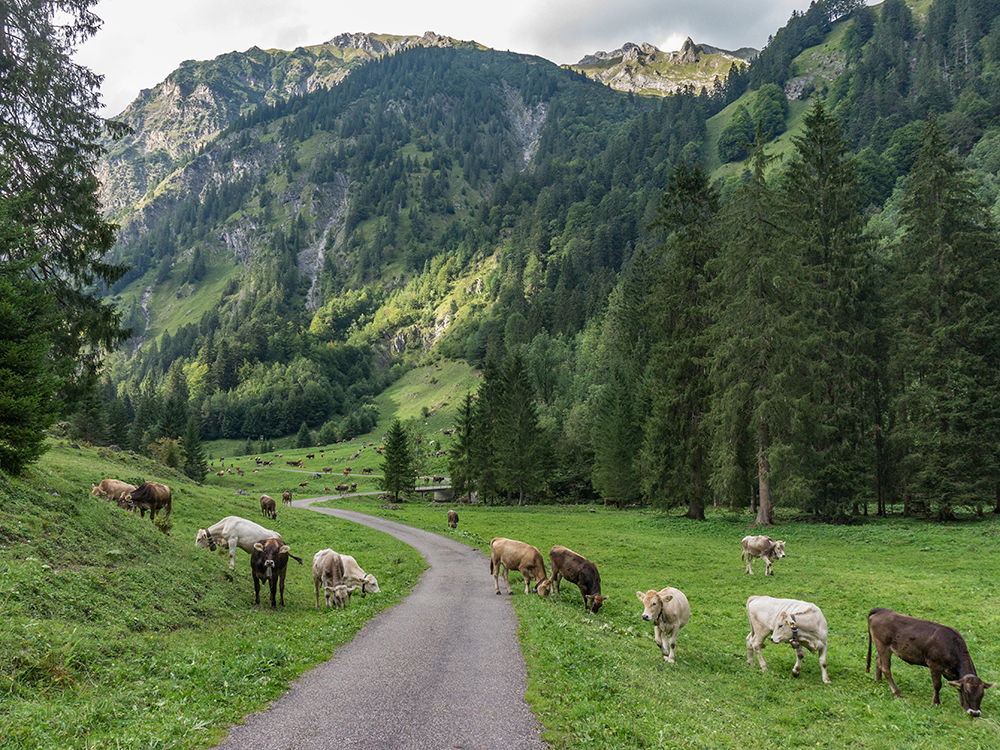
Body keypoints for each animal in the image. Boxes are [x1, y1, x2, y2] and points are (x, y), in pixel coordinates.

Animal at [864, 604, 996, 716]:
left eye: (982, 694)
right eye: (968, 692)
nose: (975, 713)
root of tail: (881, 610)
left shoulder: (951, 672)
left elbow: (957, 685)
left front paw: (962, 704)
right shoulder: (934, 665)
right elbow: (937, 685)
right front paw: (936, 703)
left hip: (881, 646)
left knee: (877, 658)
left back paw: (877, 680)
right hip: (883, 644)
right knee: (886, 668)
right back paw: (897, 692)